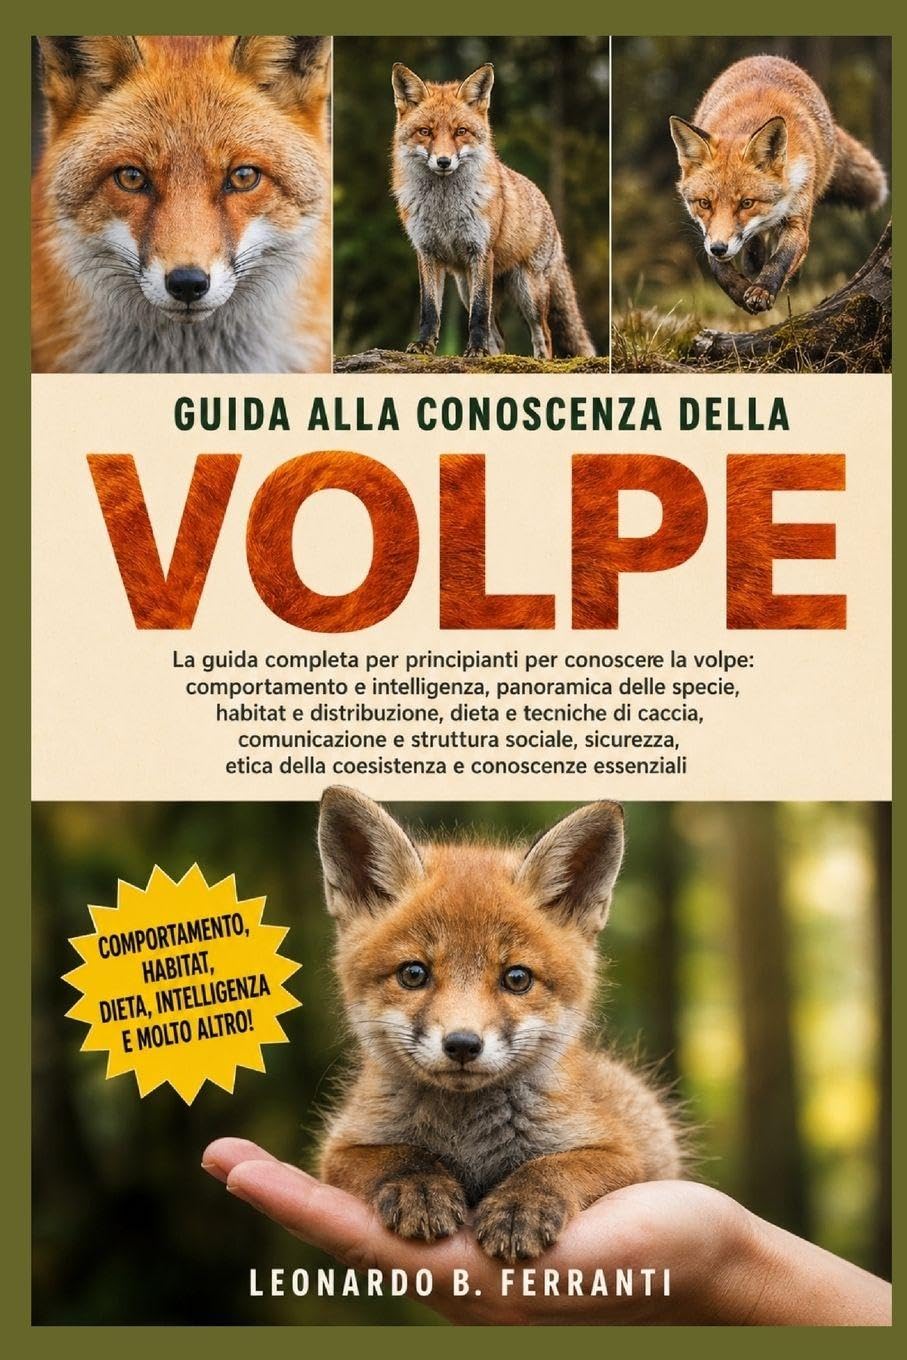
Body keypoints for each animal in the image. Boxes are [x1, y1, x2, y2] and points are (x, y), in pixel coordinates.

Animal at [316, 788, 683, 1263]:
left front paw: (519, 1206)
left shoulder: (618, 1152)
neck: (466, 1132)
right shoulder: (342, 1146)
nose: (462, 1044)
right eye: (413, 974)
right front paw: (420, 1187)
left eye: (517, 978)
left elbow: (552, 1167)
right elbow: (399, 1155)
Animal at [391, 63, 594, 360]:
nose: (443, 161)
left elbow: (478, 314)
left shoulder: (481, 252)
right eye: (425, 132)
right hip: (465, 287)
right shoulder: (427, 253)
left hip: (528, 292)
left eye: (461, 131)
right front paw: (424, 346)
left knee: (543, 335)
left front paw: (475, 350)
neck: (444, 211)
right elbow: (429, 310)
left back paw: (538, 361)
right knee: (498, 338)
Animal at [669, 55, 888, 315]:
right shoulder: (710, 235)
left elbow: (780, 259)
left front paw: (763, 289)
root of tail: (766, 56)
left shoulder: (797, 219)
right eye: (704, 203)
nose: (720, 248)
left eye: (747, 203)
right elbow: (717, 267)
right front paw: (738, 289)